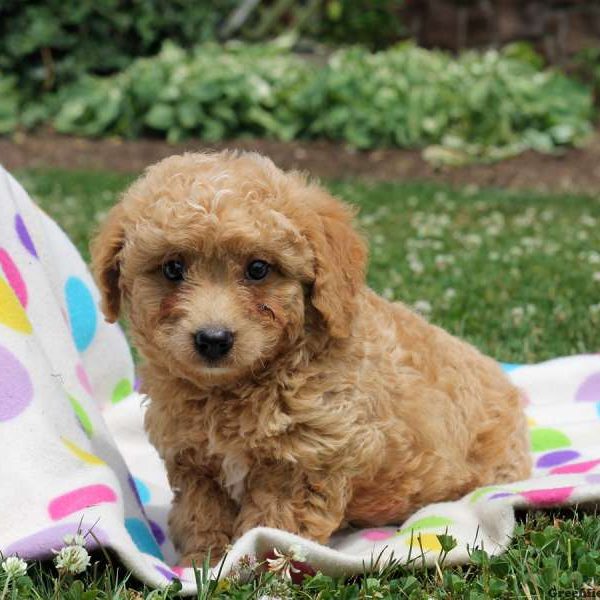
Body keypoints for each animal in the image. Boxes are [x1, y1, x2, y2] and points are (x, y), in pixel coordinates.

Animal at [91, 152, 532, 564]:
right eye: (172, 268)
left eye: (258, 269)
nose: (213, 339)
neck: (236, 388)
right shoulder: (194, 462)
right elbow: (202, 514)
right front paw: (204, 560)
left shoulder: (308, 458)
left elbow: (273, 525)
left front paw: (253, 566)